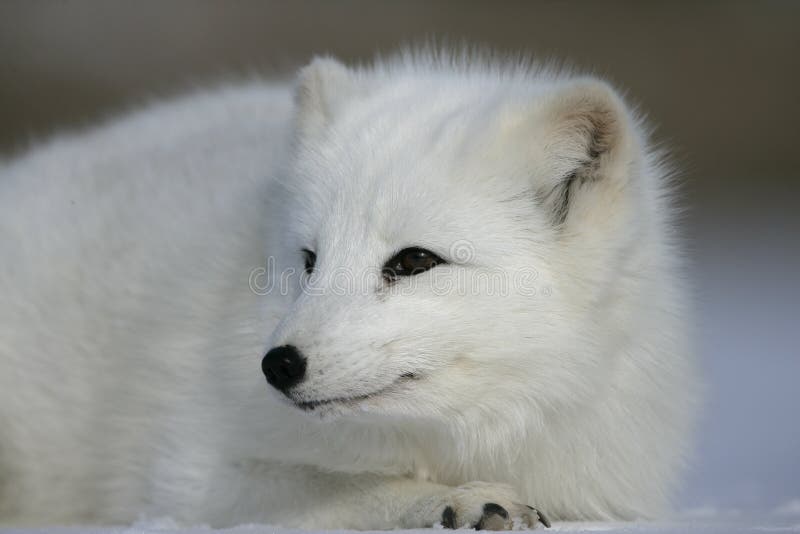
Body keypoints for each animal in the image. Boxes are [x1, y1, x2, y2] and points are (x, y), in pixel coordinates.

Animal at [0, 51, 692, 532]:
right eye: (310, 260)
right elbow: (343, 489)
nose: (277, 365)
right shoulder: (191, 476)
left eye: (414, 261)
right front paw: (459, 500)